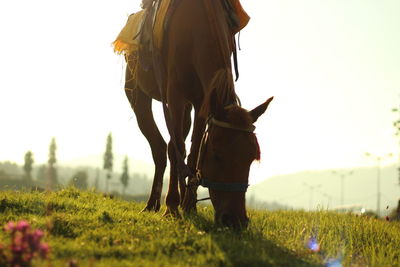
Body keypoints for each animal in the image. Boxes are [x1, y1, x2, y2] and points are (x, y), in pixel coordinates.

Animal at [124, 0, 272, 229]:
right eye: (218, 156)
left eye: (251, 158)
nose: (236, 220)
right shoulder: (175, 94)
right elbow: (178, 148)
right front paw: (172, 206)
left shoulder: (203, 99)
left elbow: (194, 149)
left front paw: (189, 204)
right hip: (136, 93)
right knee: (160, 148)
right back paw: (152, 204)